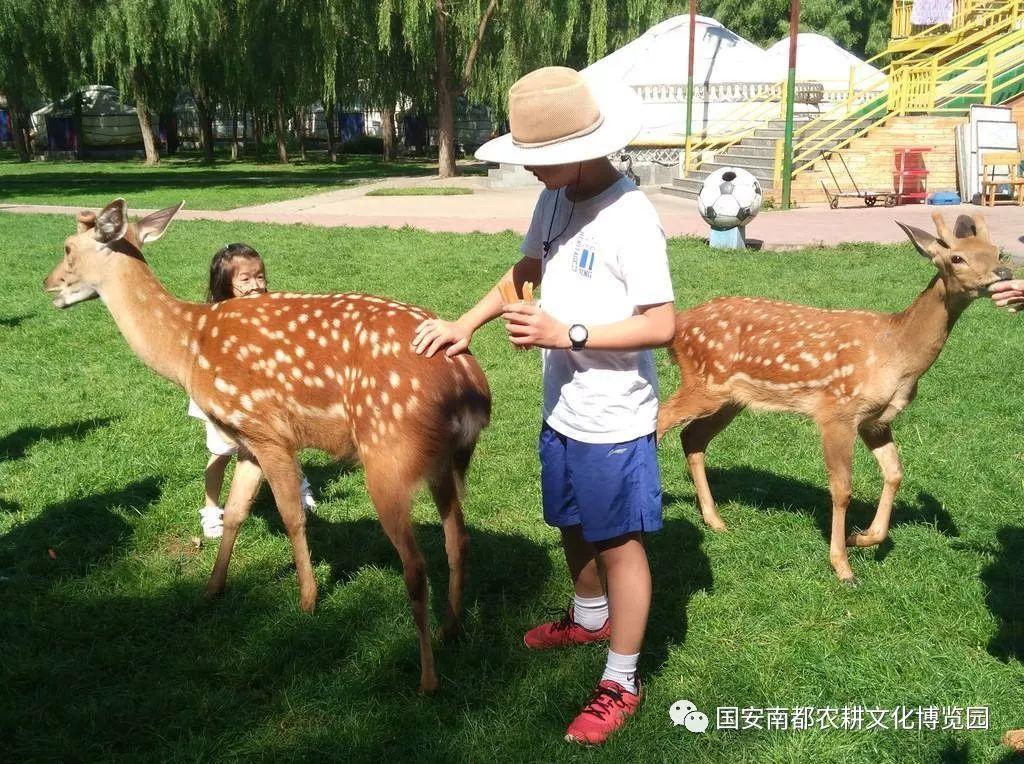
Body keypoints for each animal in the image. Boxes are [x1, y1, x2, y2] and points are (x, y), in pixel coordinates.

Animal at [659, 210, 1011, 581]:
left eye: (996, 251)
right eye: (957, 258)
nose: (1004, 273)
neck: (897, 353)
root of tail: (680, 324)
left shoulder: (875, 420)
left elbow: (895, 473)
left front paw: (863, 538)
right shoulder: (838, 410)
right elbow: (842, 489)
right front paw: (843, 566)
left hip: (730, 398)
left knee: (692, 437)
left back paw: (715, 521)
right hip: (704, 381)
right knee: (661, 420)